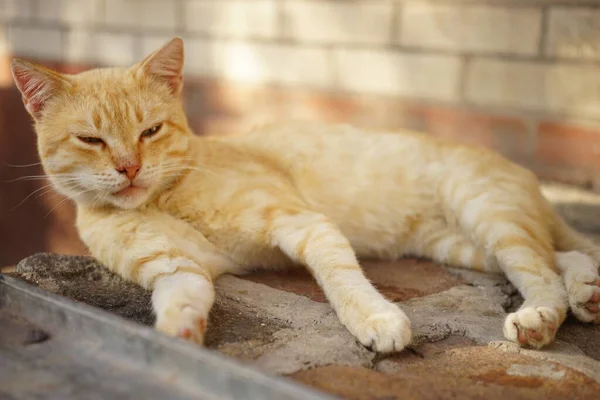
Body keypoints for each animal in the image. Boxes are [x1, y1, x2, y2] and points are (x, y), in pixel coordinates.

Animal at [11, 36, 600, 350]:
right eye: (91, 140)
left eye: (150, 131)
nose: (129, 168)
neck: (162, 199)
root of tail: (522, 175)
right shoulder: (176, 267)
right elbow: (183, 295)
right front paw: (179, 331)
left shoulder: (303, 223)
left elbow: (344, 281)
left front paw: (377, 321)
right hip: (466, 243)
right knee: (561, 256)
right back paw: (586, 293)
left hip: (487, 214)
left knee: (542, 269)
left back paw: (540, 319)